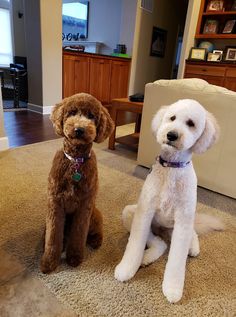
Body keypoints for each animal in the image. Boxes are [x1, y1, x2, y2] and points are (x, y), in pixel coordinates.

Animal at [40, 92, 114, 272]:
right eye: (72, 112)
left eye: (91, 116)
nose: (79, 129)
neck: (75, 161)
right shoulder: (55, 204)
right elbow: (53, 235)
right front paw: (49, 262)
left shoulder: (84, 206)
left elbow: (79, 234)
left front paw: (74, 257)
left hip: (95, 213)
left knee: (95, 230)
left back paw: (95, 240)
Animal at [114, 98, 223, 302]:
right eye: (172, 118)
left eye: (191, 123)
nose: (171, 135)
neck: (172, 166)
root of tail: (162, 230)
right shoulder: (145, 212)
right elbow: (134, 246)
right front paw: (126, 269)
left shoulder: (183, 221)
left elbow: (177, 261)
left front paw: (172, 289)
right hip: (131, 214)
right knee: (160, 243)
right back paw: (146, 258)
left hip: (181, 226)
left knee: (189, 235)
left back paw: (193, 247)